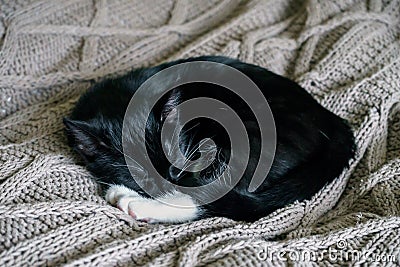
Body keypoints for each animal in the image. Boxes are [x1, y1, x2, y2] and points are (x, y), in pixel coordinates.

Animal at [64, 56, 354, 224]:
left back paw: (131, 201)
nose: (170, 183)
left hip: (246, 134)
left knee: (217, 196)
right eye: (142, 177)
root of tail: (332, 122)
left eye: (175, 163)